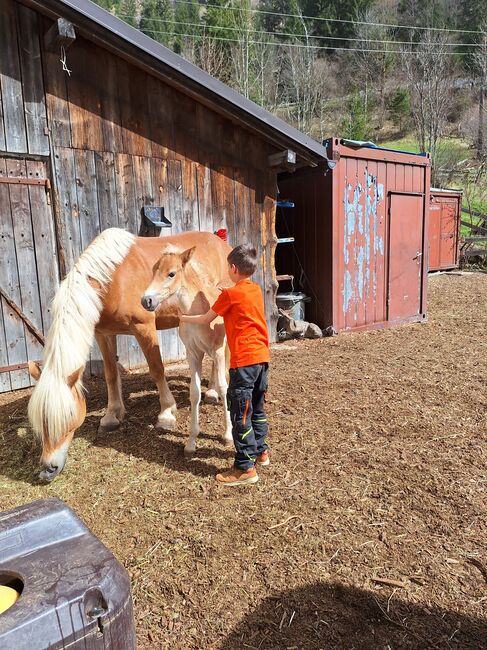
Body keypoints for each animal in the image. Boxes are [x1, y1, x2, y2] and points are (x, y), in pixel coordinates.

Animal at [140, 243, 234, 456]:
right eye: (153, 270)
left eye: (171, 273)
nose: (146, 300)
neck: (197, 313)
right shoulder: (193, 353)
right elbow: (194, 392)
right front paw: (191, 443)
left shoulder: (217, 349)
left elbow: (224, 387)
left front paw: (228, 435)